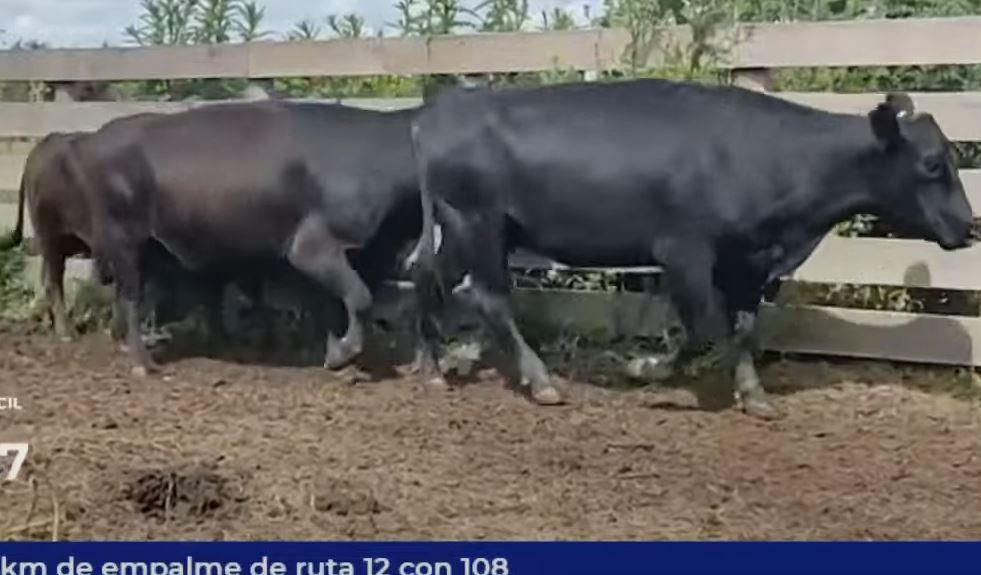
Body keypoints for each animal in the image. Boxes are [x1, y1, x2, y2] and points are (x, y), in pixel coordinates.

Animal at [64, 101, 423, 376]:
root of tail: (97, 138)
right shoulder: (313, 247)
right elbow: (359, 298)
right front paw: (340, 355)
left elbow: (342, 304)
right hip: (125, 239)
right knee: (131, 298)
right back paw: (144, 363)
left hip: (148, 248)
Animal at [408, 79, 976, 418]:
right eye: (931, 164)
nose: (968, 227)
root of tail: (441, 115)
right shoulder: (684, 251)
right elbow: (703, 325)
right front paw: (647, 369)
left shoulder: (748, 265)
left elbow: (743, 329)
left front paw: (754, 395)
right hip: (478, 223)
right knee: (490, 298)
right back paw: (539, 379)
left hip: (461, 229)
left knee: (426, 278)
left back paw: (435, 365)